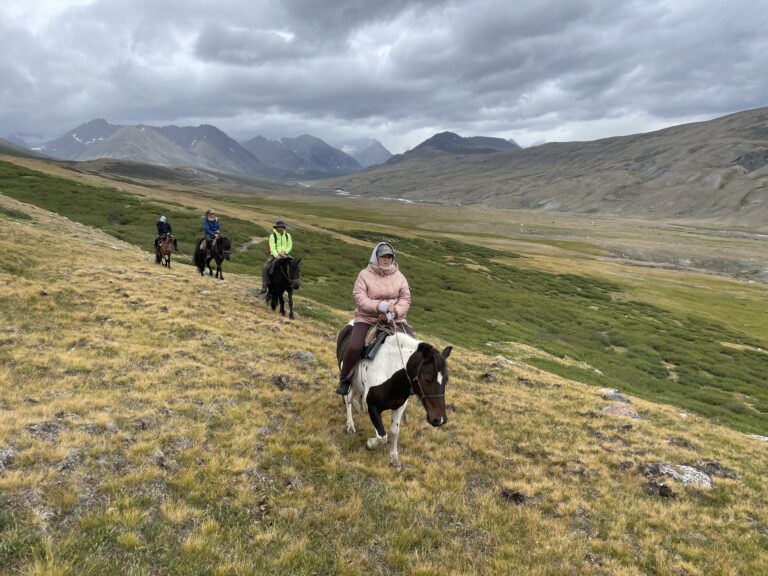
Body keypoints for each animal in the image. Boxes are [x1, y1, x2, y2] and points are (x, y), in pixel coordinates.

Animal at [334, 322, 450, 470]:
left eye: (446, 379)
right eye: (427, 379)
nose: (439, 419)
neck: (390, 372)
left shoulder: (399, 407)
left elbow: (395, 431)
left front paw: (394, 458)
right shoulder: (373, 406)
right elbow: (382, 436)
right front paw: (370, 444)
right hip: (348, 382)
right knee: (347, 400)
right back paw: (350, 425)